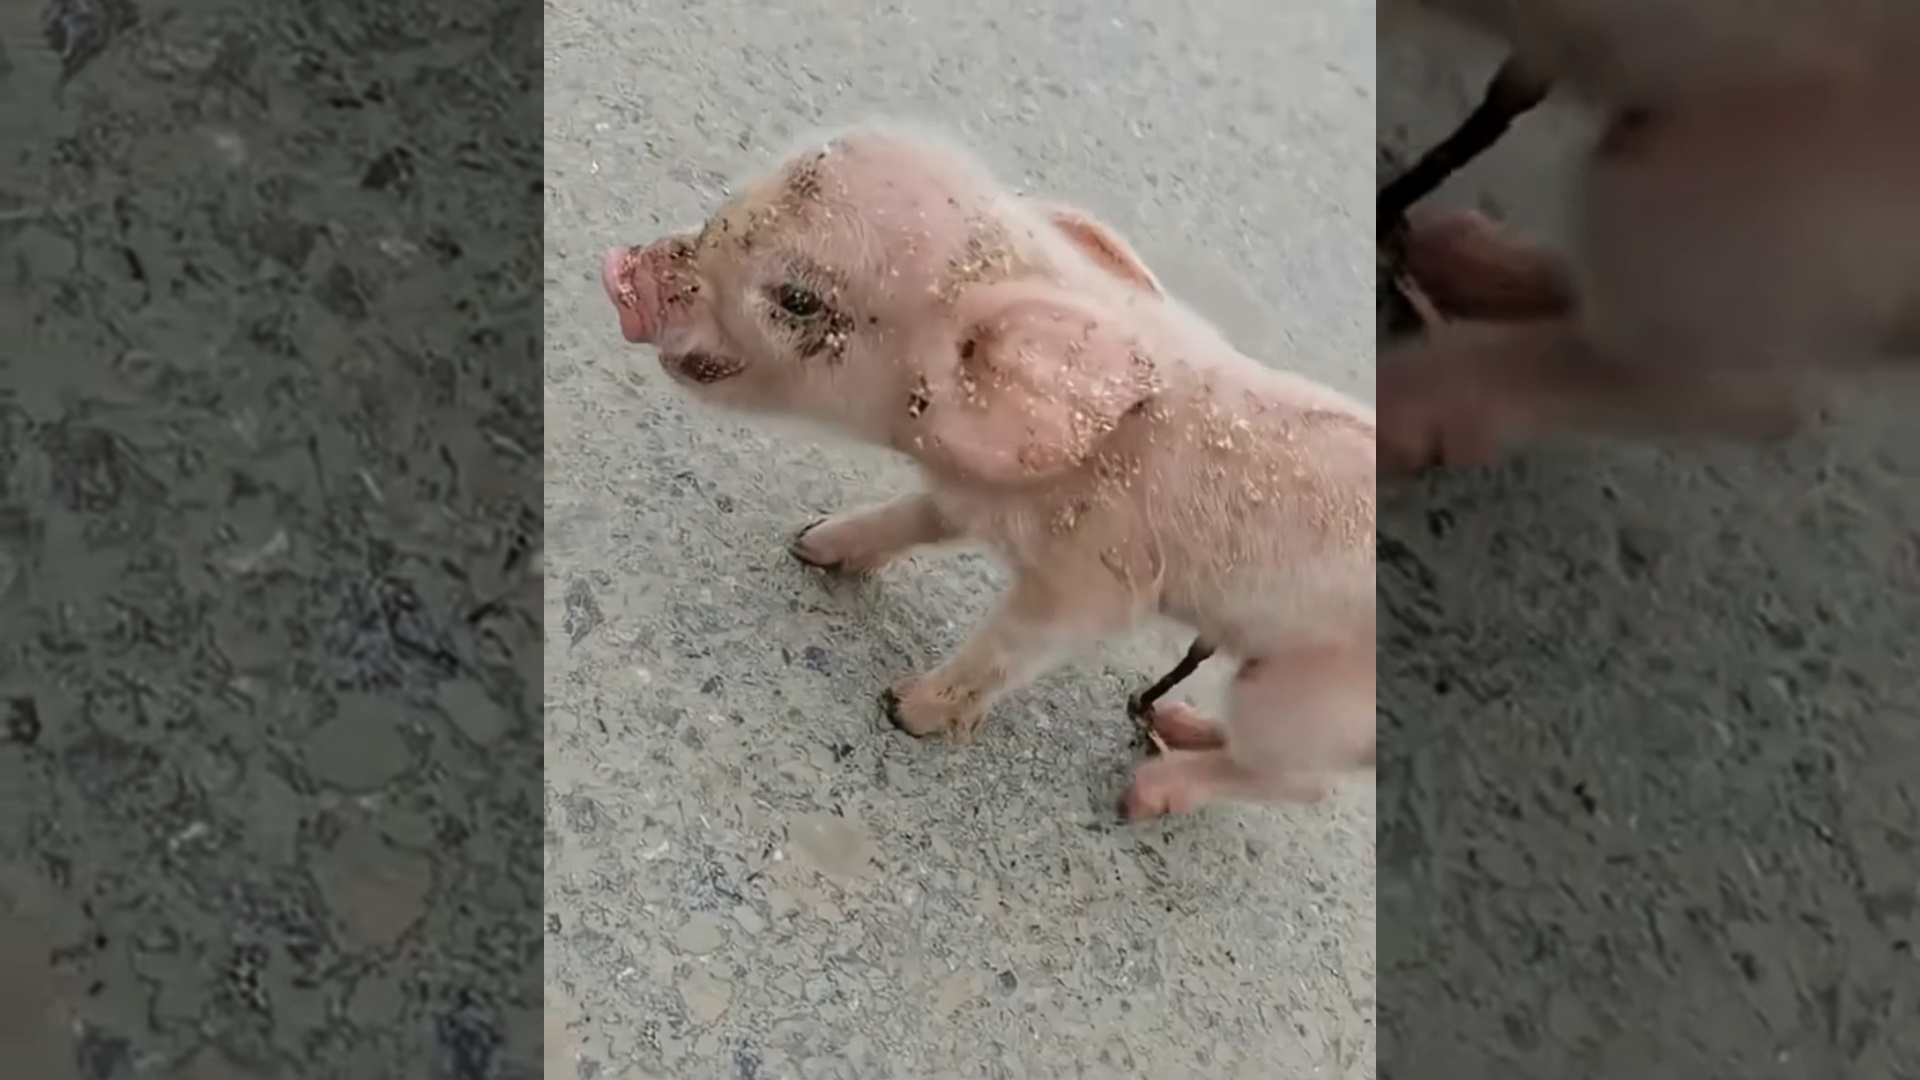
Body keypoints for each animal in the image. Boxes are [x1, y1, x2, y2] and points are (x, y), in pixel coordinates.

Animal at [599, 124, 1376, 820]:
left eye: (798, 300)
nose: (623, 266)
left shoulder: (1099, 581)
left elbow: (1013, 645)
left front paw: (902, 708)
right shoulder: (966, 496)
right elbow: (914, 517)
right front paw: (810, 544)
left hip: (1303, 698)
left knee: (1302, 782)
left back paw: (1140, 796)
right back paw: (1170, 722)